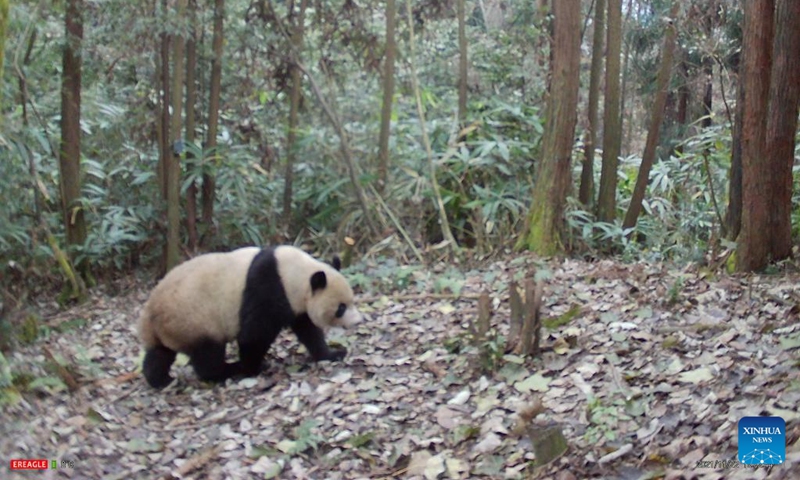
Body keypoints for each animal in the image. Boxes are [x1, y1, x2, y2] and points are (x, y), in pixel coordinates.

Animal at [137, 245, 362, 389]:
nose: (357, 321)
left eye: (352, 300)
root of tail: (150, 314)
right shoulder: (268, 288)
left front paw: (332, 353)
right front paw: (254, 367)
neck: (292, 273)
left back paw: (160, 380)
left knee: (160, 353)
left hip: (170, 329)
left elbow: (307, 330)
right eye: (341, 308)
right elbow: (254, 334)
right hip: (193, 319)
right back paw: (227, 370)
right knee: (207, 354)